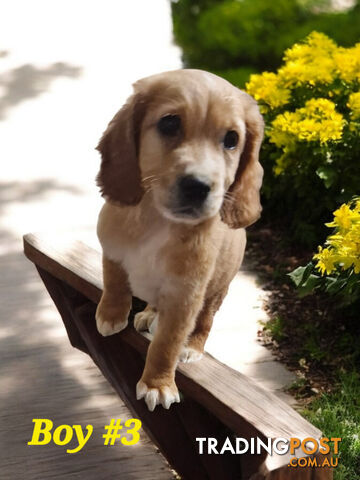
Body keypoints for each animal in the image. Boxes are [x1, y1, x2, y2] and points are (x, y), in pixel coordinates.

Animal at [95, 69, 264, 410]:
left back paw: (193, 348)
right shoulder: (112, 248)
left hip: (216, 291)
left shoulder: (185, 295)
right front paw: (110, 316)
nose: (198, 186)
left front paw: (157, 384)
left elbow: (167, 343)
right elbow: (115, 281)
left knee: (205, 322)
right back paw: (148, 313)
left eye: (231, 140)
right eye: (170, 123)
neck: (158, 221)